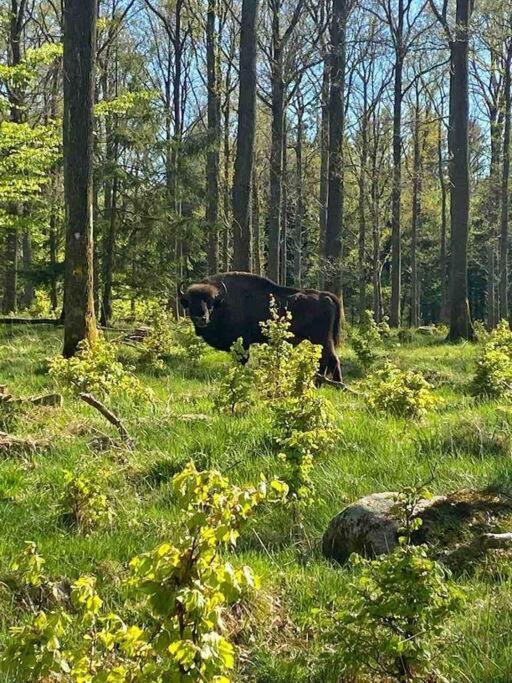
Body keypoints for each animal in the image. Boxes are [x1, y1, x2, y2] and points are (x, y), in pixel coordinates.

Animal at [178, 272, 342, 380]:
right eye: (190, 303)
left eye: (211, 303)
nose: (201, 318)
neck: (223, 302)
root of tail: (325, 296)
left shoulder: (242, 342)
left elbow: (243, 359)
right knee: (334, 359)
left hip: (320, 340)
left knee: (326, 360)